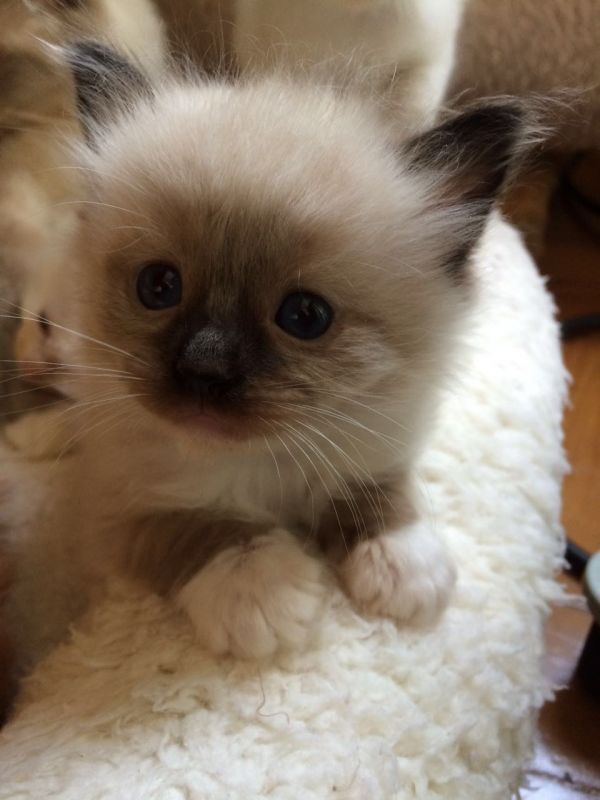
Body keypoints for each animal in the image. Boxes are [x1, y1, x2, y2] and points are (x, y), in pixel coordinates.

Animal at [4, 43, 528, 668]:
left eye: (305, 317)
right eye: (159, 287)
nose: (203, 370)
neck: (260, 461)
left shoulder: (372, 438)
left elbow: (379, 493)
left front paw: (400, 565)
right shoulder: (114, 502)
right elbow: (190, 526)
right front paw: (258, 589)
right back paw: (34, 435)